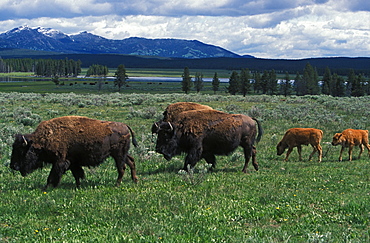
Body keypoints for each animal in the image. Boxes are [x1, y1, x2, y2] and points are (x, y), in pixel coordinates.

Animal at [11, 116, 139, 190]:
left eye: (22, 150)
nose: (13, 166)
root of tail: (125, 126)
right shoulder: (72, 162)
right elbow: (76, 174)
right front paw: (78, 186)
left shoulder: (60, 161)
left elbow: (53, 175)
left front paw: (47, 187)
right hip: (121, 154)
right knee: (131, 161)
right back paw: (135, 180)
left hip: (118, 155)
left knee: (122, 168)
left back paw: (117, 184)